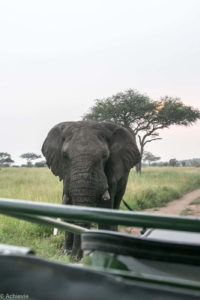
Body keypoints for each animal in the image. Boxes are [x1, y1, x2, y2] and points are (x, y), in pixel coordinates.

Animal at [41, 120, 140, 258]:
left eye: (105, 156)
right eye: (65, 156)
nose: (76, 257)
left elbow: (106, 208)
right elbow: (67, 206)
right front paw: (66, 253)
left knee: (116, 204)